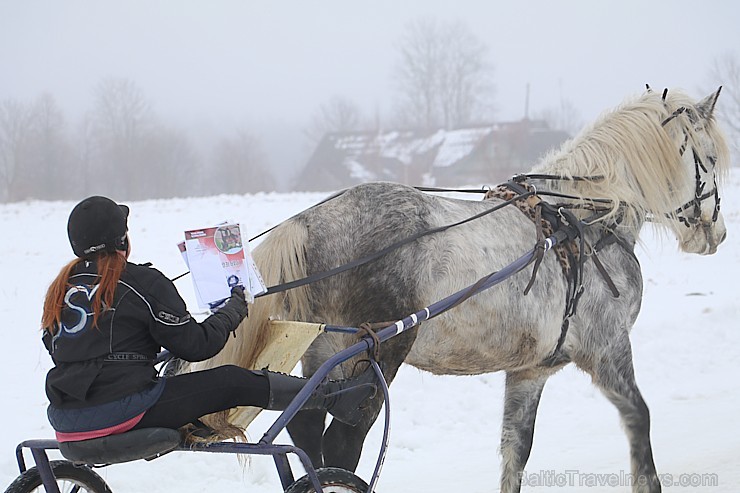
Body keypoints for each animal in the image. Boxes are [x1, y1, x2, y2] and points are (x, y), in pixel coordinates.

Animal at [202, 86, 728, 490]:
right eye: (709, 158)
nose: (717, 234)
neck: (580, 220)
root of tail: (312, 220)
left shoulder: (530, 371)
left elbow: (515, 450)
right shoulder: (608, 350)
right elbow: (640, 423)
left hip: (325, 354)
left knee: (310, 431)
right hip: (377, 356)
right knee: (343, 444)